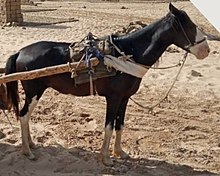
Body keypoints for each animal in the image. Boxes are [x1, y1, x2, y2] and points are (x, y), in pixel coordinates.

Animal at [4, 3, 209, 165]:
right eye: (188, 25)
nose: (206, 50)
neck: (126, 54)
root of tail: (21, 51)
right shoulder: (114, 97)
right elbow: (109, 126)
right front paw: (106, 158)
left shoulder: (124, 98)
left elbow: (120, 125)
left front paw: (119, 152)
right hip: (34, 92)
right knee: (23, 116)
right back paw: (27, 151)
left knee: (26, 116)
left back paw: (31, 144)